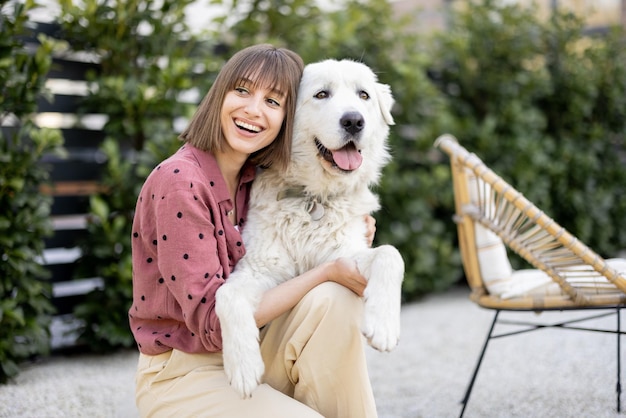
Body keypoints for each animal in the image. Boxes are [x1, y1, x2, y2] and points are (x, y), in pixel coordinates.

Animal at [214, 58, 402, 398]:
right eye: (321, 94)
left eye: (364, 95)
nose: (354, 121)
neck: (312, 198)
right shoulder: (260, 269)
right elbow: (226, 294)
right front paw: (243, 366)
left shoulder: (345, 254)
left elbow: (390, 254)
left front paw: (383, 324)